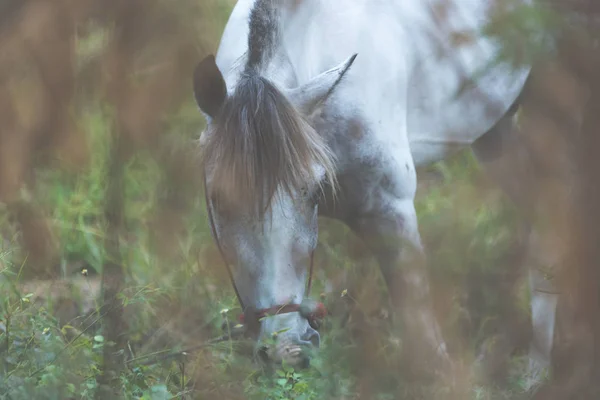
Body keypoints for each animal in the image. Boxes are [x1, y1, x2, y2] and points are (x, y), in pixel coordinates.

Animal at [192, 0, 556, 382]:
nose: (287, 348)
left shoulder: (392, 212)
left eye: (315, 190)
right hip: (495, 133)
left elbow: (425, 344)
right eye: (219, 198)